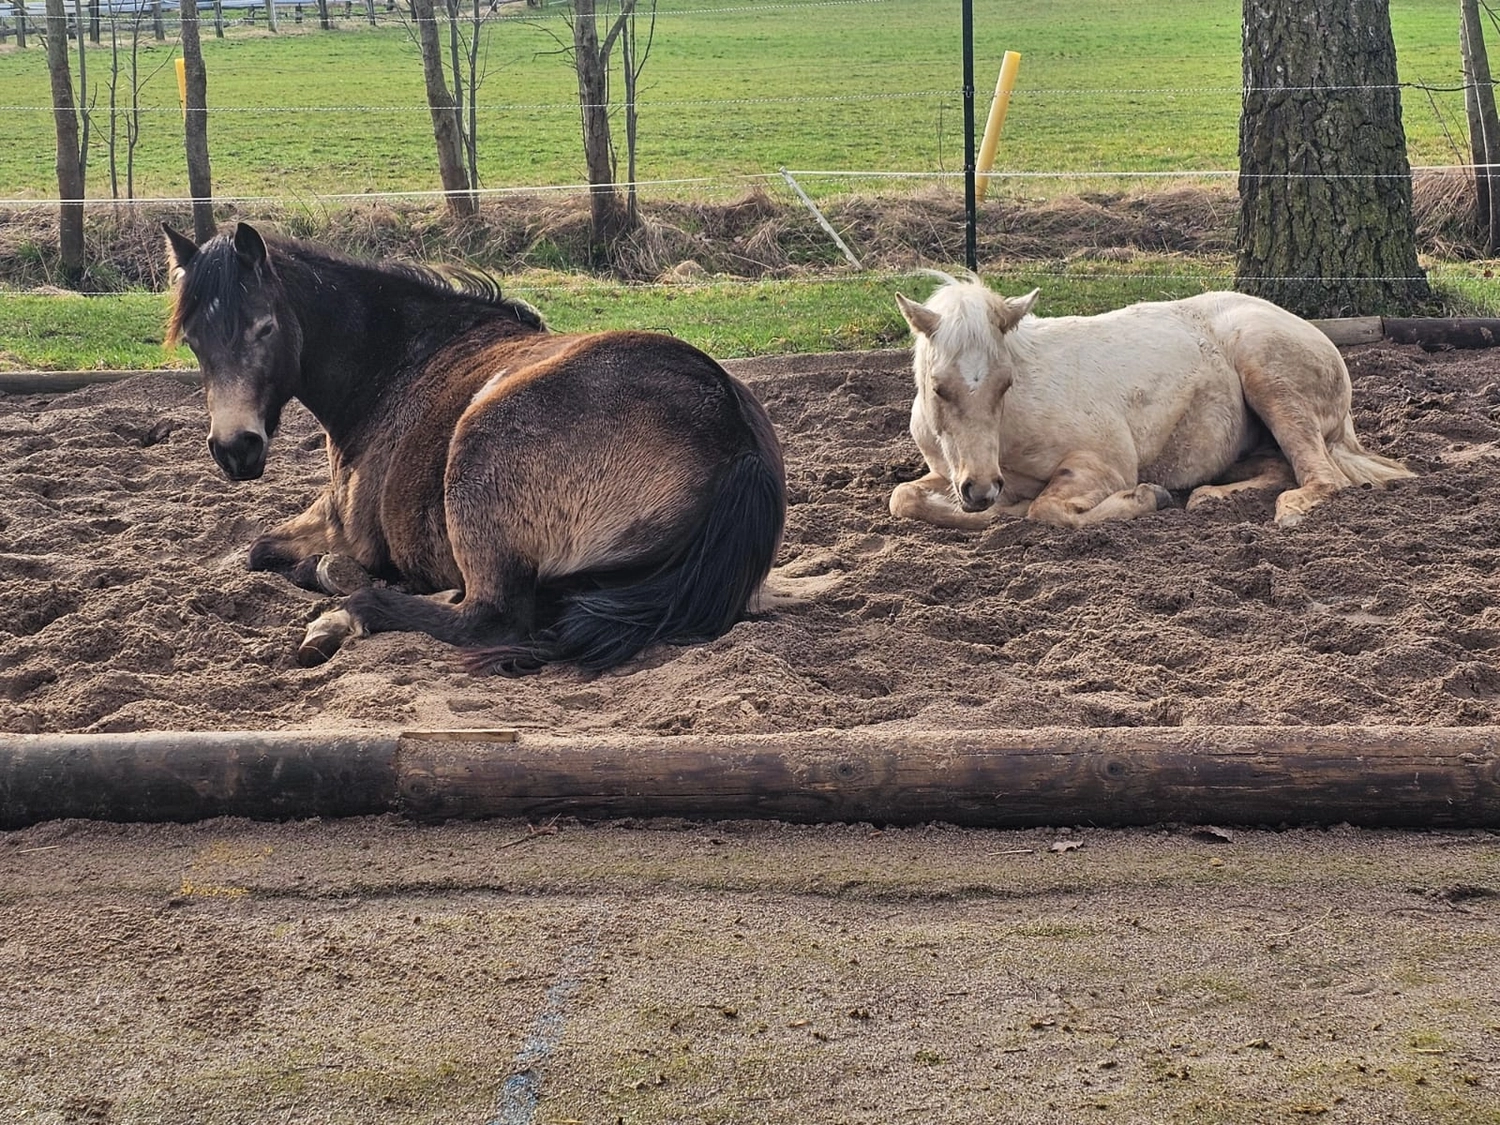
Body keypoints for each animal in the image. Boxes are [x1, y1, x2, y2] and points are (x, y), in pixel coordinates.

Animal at [163, 222, 786, 674]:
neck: (397, 364)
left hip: (478, 457)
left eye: (265, 327)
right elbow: (258, 551)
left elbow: (274, 553)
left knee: (488, 617)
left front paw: (334, 580)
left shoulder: (348, 528)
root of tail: (733, 437)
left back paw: (350, 613)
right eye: (193, 340)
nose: (235, 448)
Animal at [889, 272, 1413, 530]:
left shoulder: (1105, 463)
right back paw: (1208, 497)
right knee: (1279, 467)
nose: (981, 490)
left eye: (1005, 383)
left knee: (1321, 476)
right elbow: (903, 497)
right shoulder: (948, 472)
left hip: (1269, 375)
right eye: (938, 388)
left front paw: (1146, 497)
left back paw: (1289, 511)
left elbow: (1047, 510)